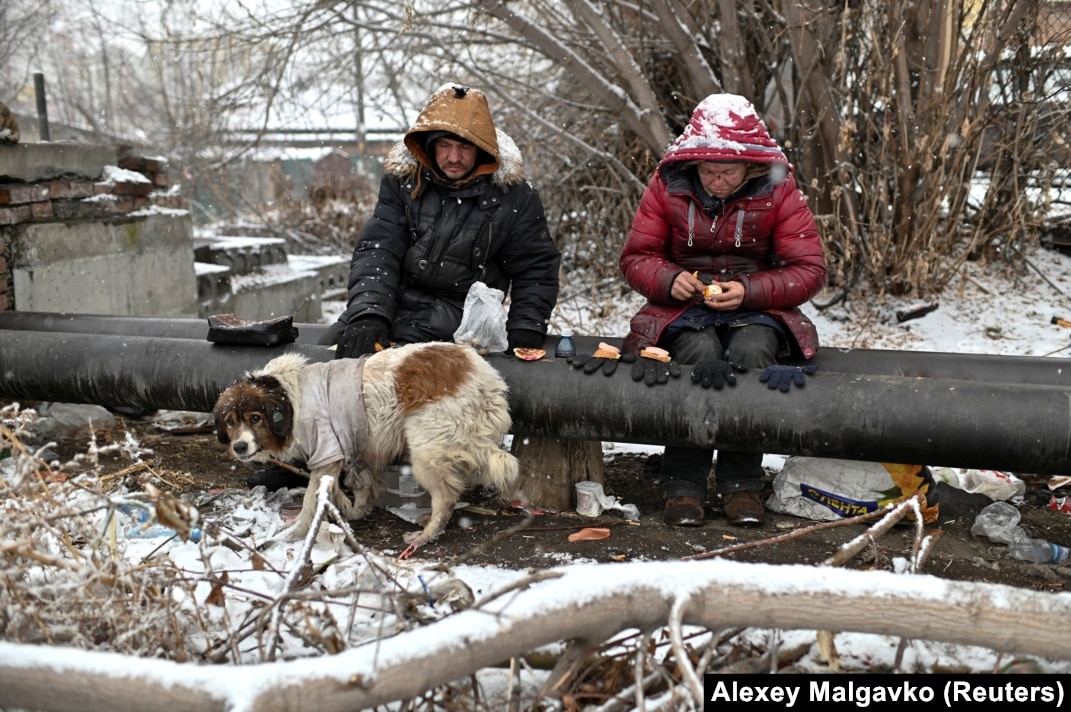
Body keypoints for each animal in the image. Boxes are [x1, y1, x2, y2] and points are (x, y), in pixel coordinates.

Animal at [210, 340, 520, 556]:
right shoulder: (353, 448)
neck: (288, 396)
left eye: (255, 418)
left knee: (445, 499)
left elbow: (311, 500)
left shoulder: (325, 453)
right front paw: (355, 510)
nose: (239, 446)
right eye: (230, 421)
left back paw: (424, 535)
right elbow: (358, 485)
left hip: (426, 451)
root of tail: (483, 376)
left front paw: (296, 531)